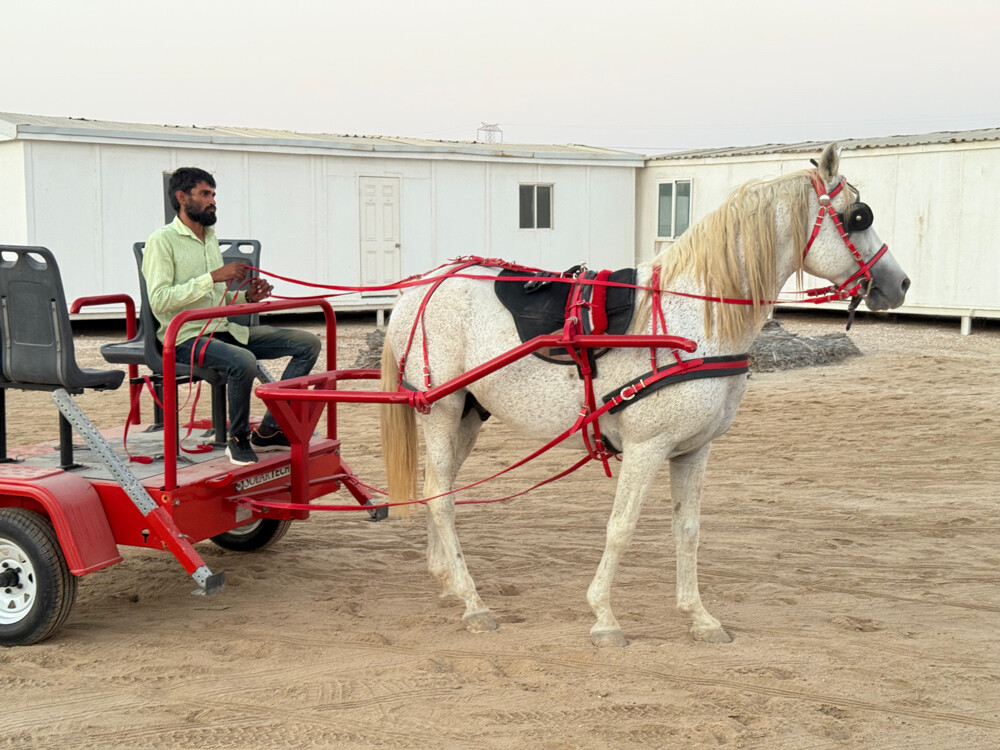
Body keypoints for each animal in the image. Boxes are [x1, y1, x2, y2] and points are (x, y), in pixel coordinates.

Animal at [379, 143, 910, 646]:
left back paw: (449, 580)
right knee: (441, 498)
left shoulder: (695, 449)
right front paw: (604, 617)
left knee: (439, 489)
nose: (900, 282)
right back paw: (473, 602)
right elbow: (622, 527)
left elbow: (687, 531)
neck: (693, 322)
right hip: (440, 408)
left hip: (468, 414)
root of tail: (424, 285)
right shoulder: (645, 446)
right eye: (857, 217)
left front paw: (699, 616)